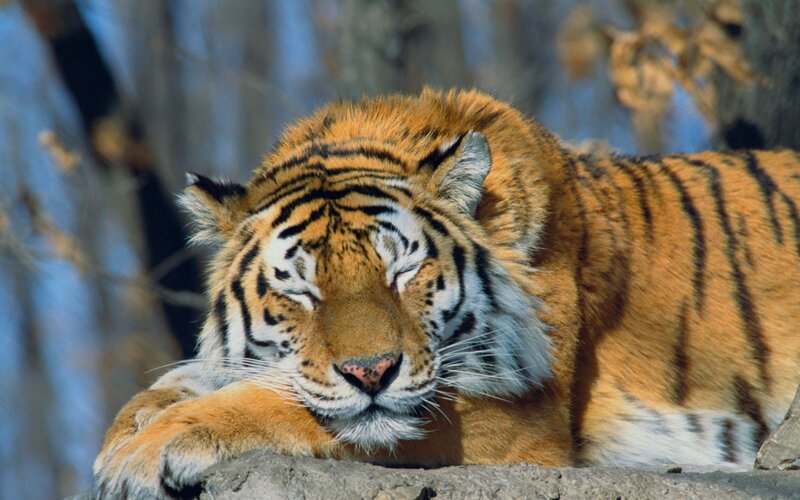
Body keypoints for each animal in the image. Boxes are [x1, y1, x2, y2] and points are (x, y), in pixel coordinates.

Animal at [93, 89, 800, 498]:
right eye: (303, 291)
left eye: (402, 273)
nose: (371, 372)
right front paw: (131, 427)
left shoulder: (514, 423)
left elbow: (283, 405)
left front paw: (143, 453)